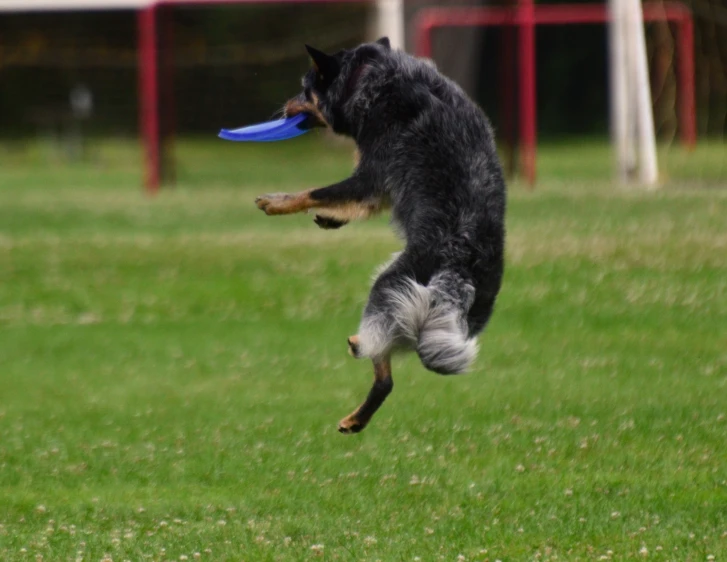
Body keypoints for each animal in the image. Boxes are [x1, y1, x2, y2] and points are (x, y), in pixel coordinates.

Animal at [256, 37, 506, 434]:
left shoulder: (371, 171)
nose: (284, 109)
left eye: (305, 89)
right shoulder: (379, 186)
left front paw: (277, 202)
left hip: (388, 286)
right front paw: (329, 219)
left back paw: (357, 376)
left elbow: (318, 191)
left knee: (384, 373)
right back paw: (357, 418)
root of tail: (459, 268)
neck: (372, 77)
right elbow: (348, 203)